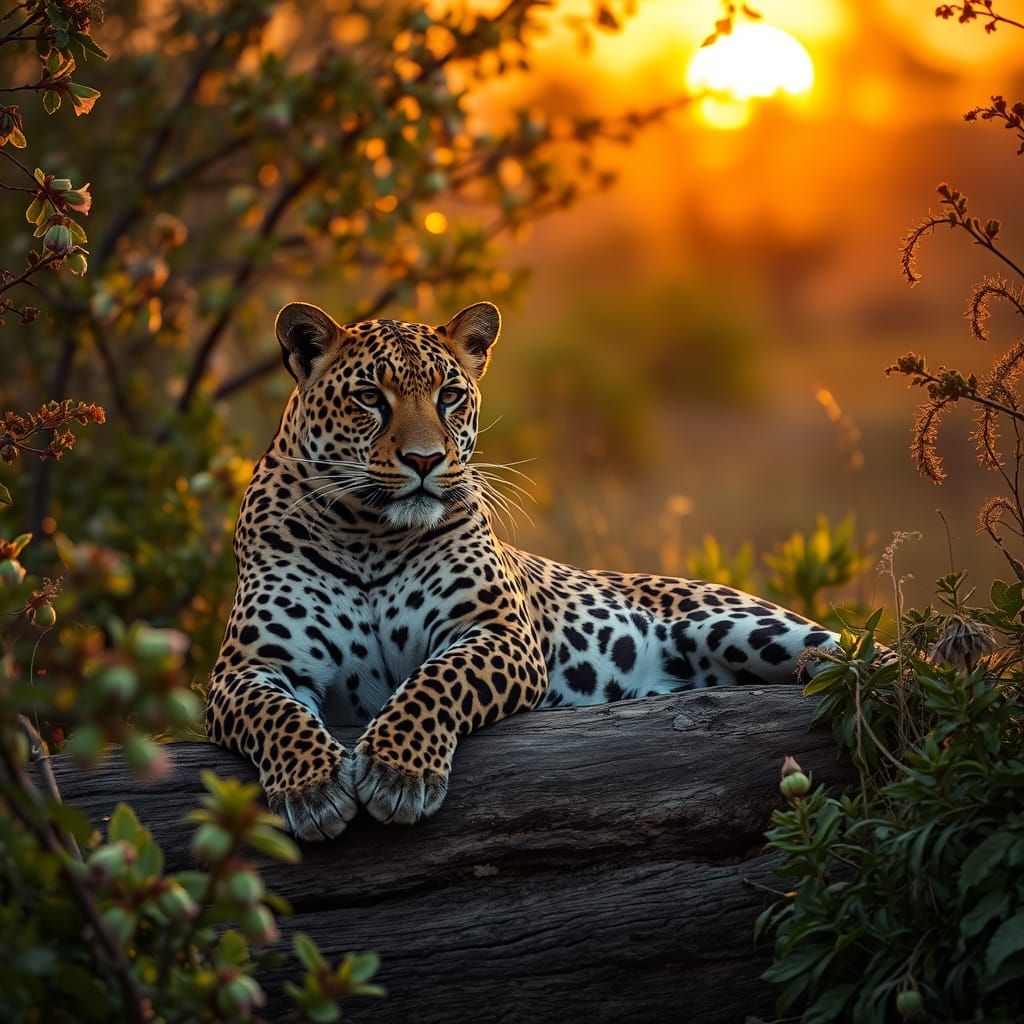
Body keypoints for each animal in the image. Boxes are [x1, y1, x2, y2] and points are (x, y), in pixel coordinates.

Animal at [207, 299, 845, 841]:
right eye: (368, 396)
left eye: (449, 395)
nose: (424, 460)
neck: (368, 535)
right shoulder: (248, 667)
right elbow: (276, 716)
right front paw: (313, 788)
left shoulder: (498, 631)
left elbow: (433, 683)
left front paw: (397, 772)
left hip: (744, 625)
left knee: (854, 657)